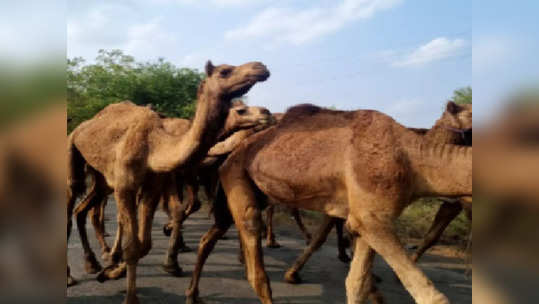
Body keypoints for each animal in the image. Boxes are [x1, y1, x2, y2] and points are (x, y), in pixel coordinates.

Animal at [67, 60, 270, 304]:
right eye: (224, 71)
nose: (261, 67)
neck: (155, 145)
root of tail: (83, 125)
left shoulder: (154, 185)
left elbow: (144, 243)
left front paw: (111, 273)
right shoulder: (127, 185)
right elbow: (134, 243)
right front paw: (132, 294)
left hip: (102, 179)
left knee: (82, 209)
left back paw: (93, 262)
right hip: (73, 149)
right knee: (71, 202)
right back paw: (75, 274)